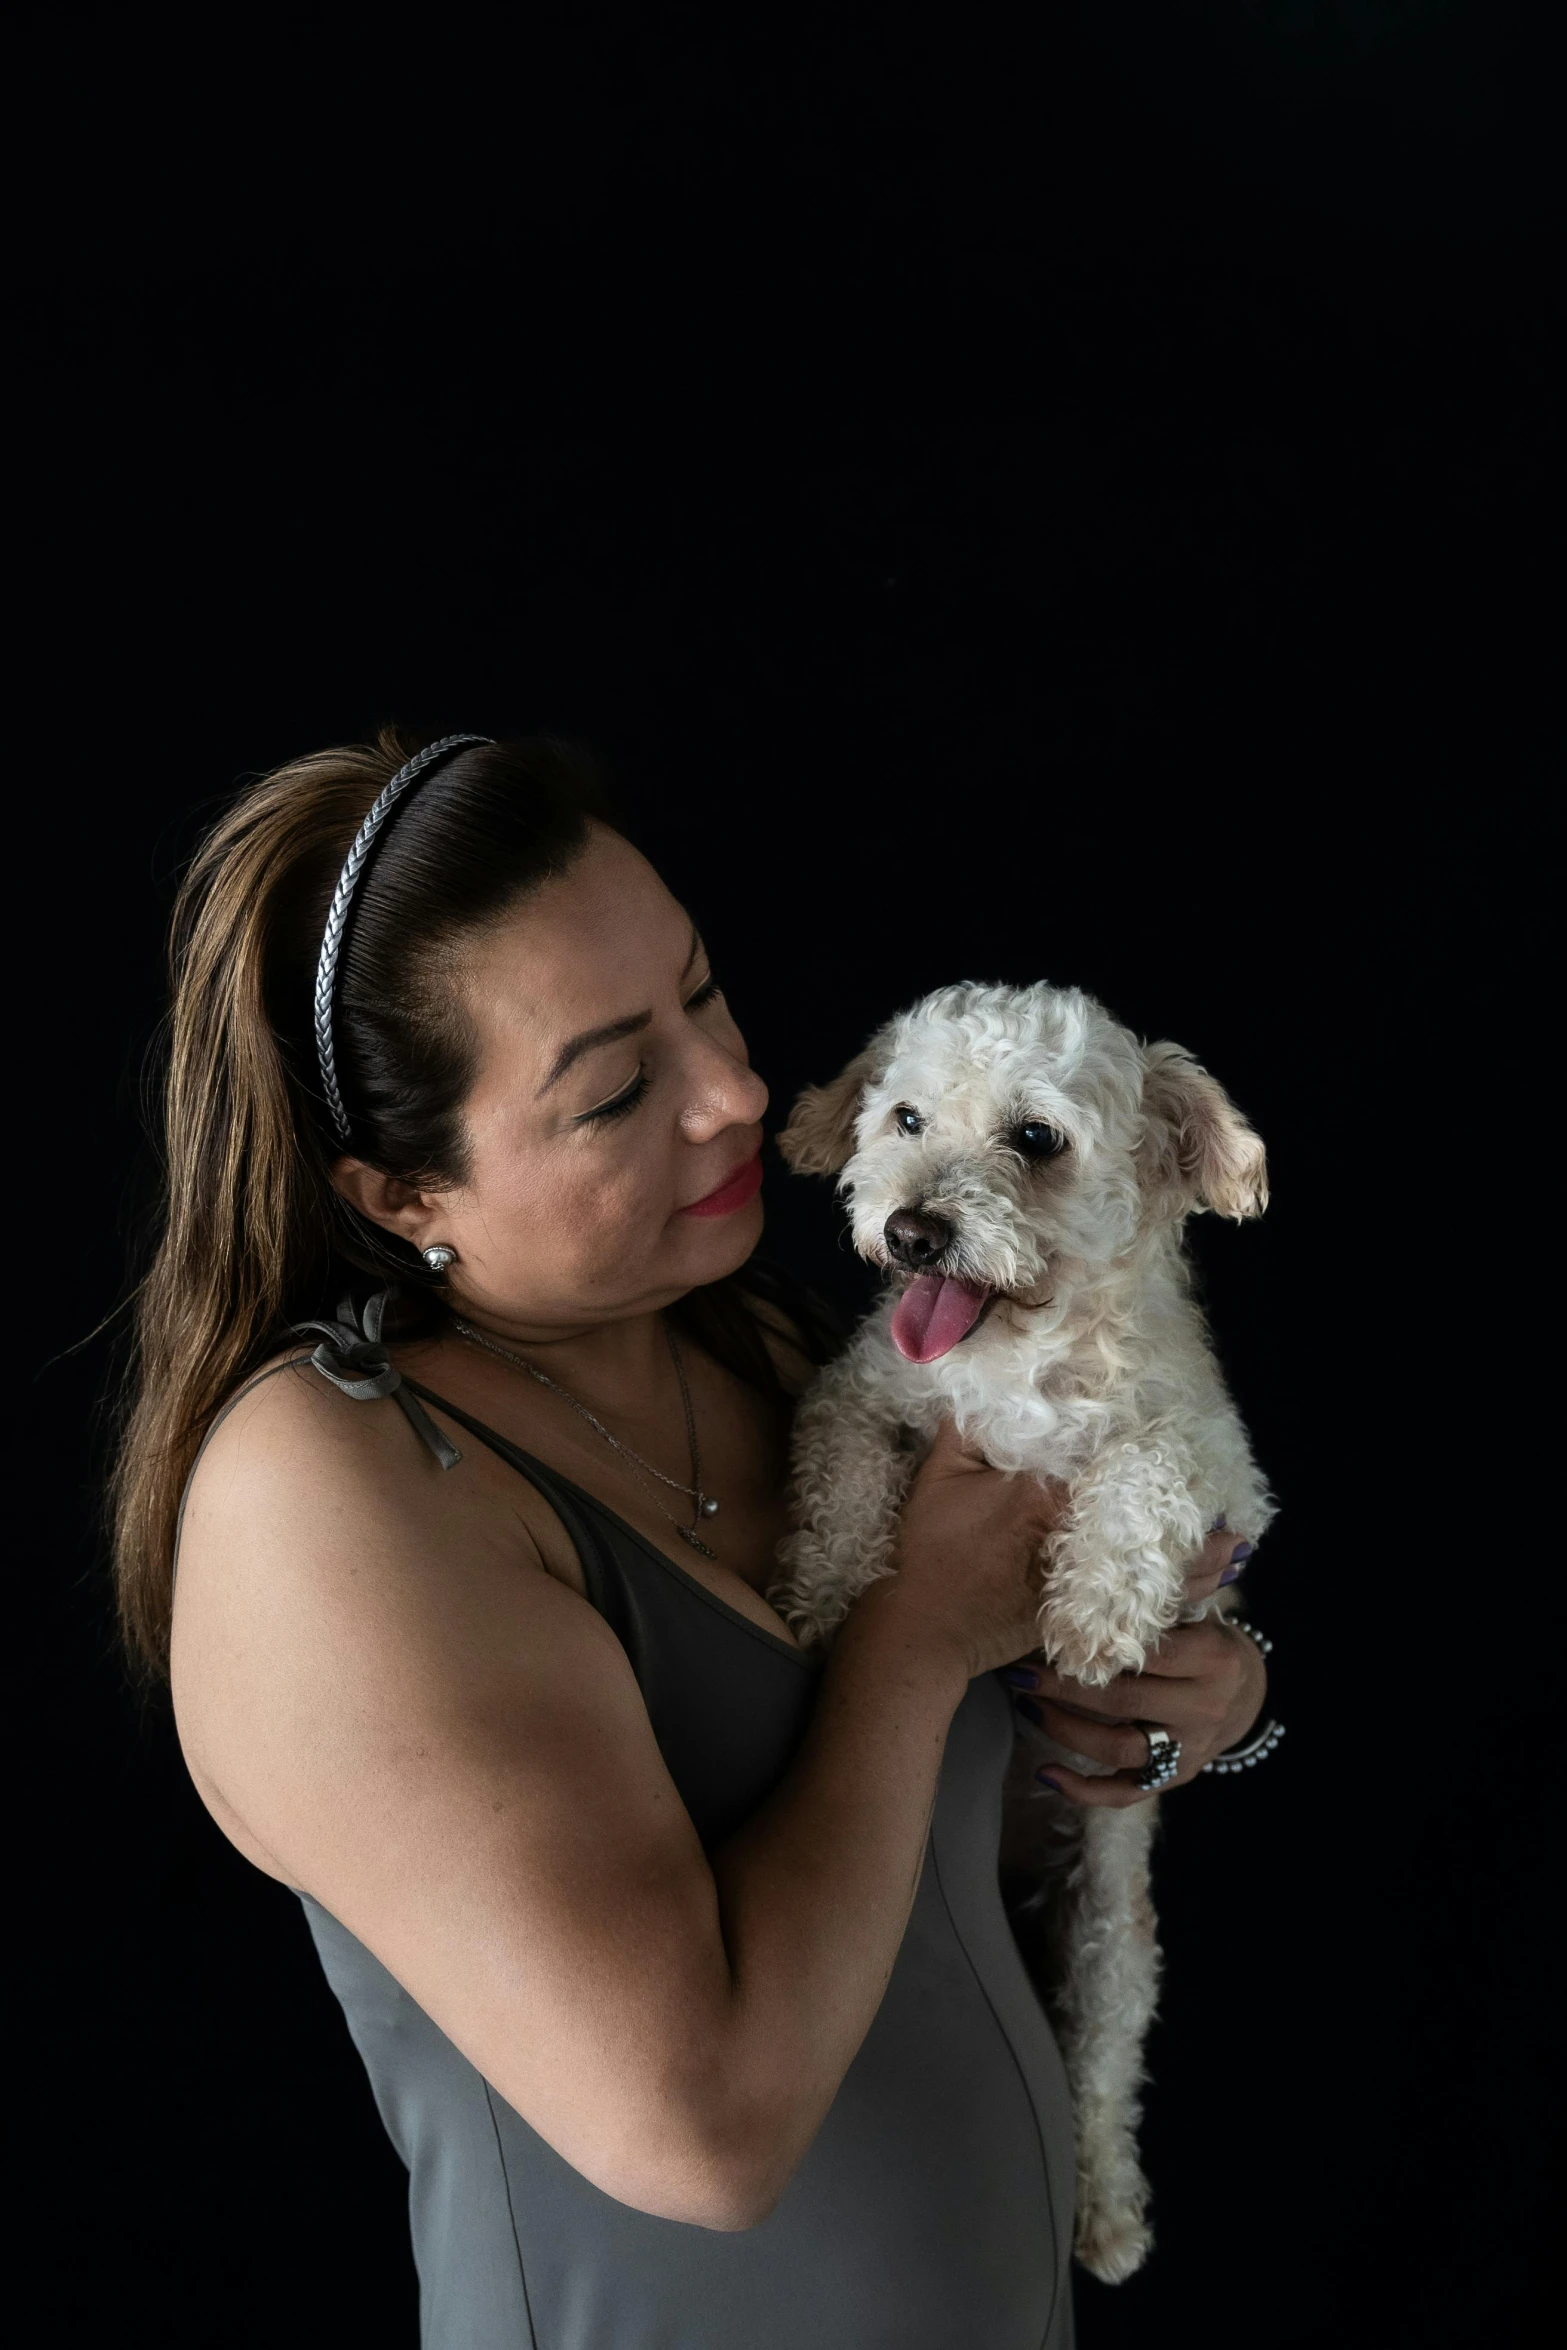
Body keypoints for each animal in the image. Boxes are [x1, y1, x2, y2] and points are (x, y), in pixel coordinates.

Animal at [770, 982, 1278, 2284]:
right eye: (904, 1117)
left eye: (1036, 1139)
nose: (910, 1232)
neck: (1018, 1355)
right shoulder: (861, 1394)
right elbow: (844, 1478)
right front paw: (828, 1594)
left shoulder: (1224, 1478)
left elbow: (1143, 1467)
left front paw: (1094, 1609)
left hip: (1110, 1939)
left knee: (1097, 2074)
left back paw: (1104, 2212)